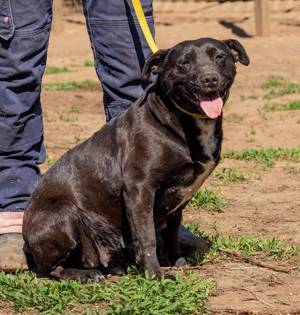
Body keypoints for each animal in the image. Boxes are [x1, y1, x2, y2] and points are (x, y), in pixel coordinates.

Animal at [22, 37, 248, 284]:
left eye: (220, 57)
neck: (180, 119)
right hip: (64, 214)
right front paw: (155, 274)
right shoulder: (139, 188)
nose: (209, 78)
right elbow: (147, 236)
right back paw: (85, 274)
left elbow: (172, 231)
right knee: (48, 270)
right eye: (184, 63)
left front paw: (175, 259)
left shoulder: (179, 199)